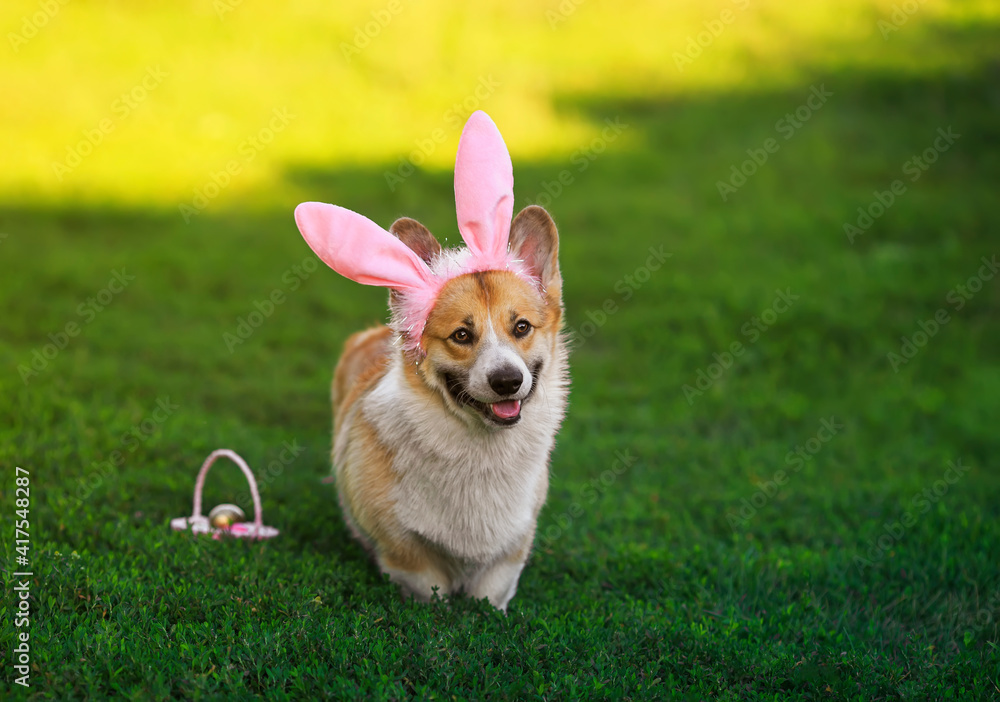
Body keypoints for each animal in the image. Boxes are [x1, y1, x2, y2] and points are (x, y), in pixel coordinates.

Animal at [292, 110, 568, 612]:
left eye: (521, 327)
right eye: (461, 335)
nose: (506, 381)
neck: (480, 451)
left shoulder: (508, 556)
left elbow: (491, 594)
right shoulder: (405, 555)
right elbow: (429, 588)